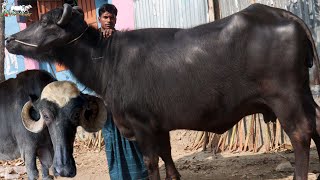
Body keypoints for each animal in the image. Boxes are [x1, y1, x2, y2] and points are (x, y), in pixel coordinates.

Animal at [5, 3, 320, 180]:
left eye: (46, 22)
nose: (9, 40)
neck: (108, 61)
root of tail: (282, 14)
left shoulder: (142, 126)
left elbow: (151, 162)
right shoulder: (160, 125)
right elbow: (167, 155)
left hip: (286, 98)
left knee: (301, 134)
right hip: (303, 94)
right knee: (316, 127)